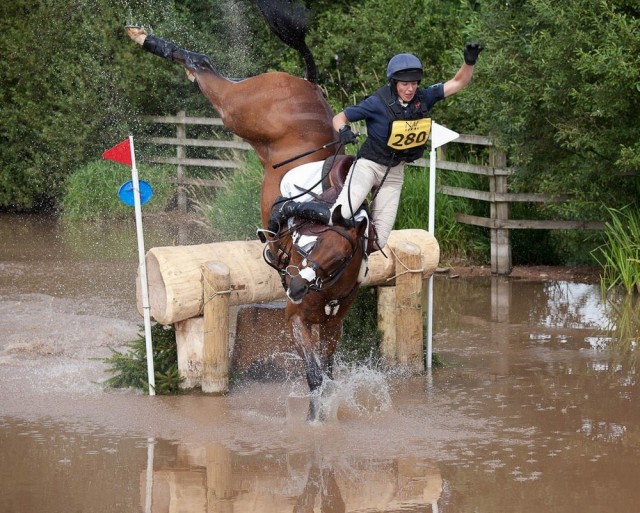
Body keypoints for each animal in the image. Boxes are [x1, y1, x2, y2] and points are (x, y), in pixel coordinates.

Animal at [126, 2, 370, 420]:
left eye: (340, 257)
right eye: (306, 244)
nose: (296, 287)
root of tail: (306, 85)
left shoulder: (333, 323)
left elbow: (328, 371)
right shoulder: (296, 318)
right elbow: (314, 375)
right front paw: (313, 422)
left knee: (212, 69)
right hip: (241, 108)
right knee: (207, 70)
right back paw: (147, 39)